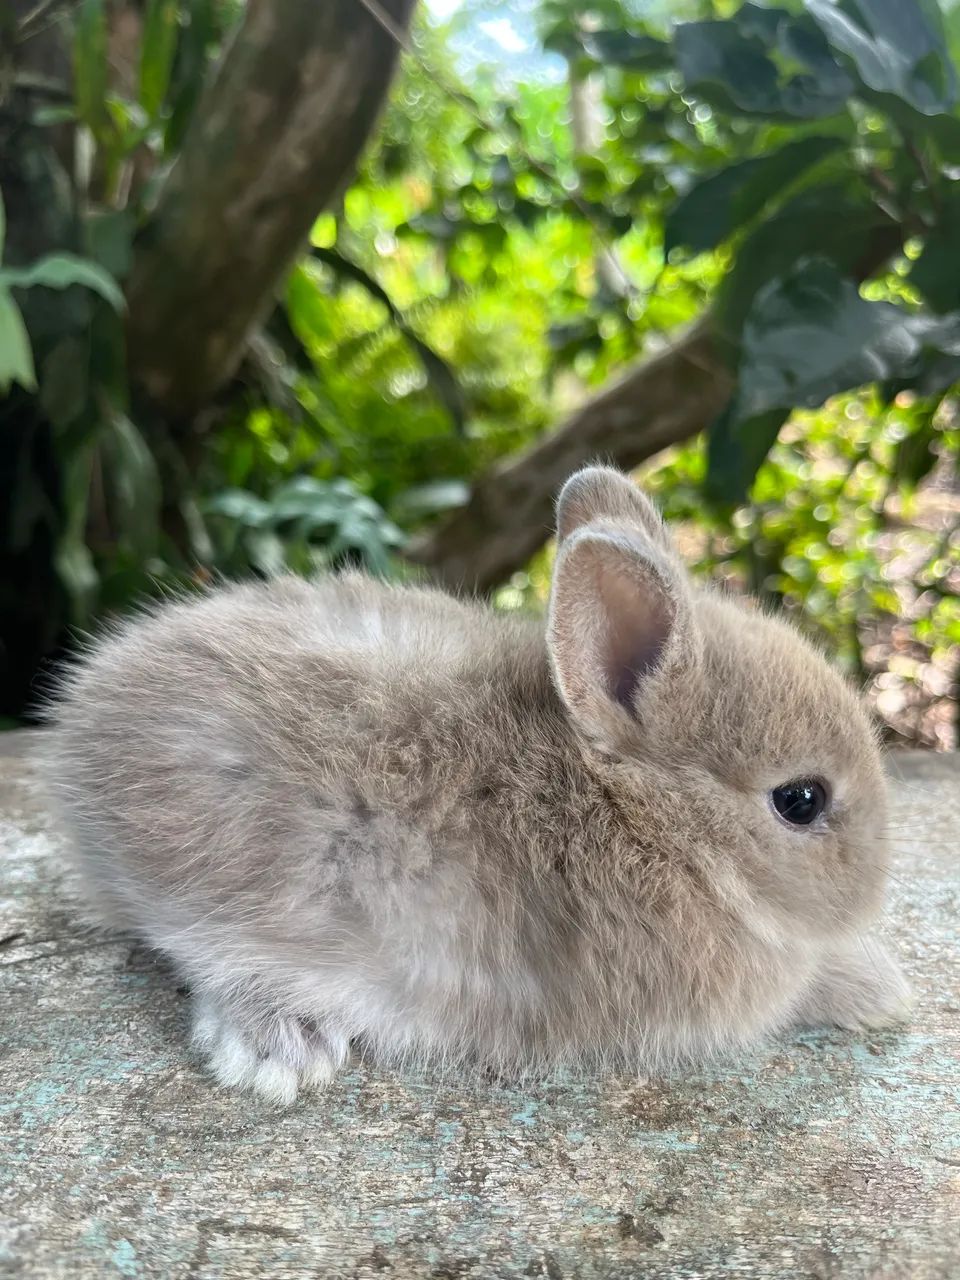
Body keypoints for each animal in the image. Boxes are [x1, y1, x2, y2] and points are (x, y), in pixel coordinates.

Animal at [43, 466, 911, 1103]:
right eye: (801, 801)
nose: (873, 893)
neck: (639, 813)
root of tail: (84, 714)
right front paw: (877, 989)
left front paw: (876, 985)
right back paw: (278, 1048)